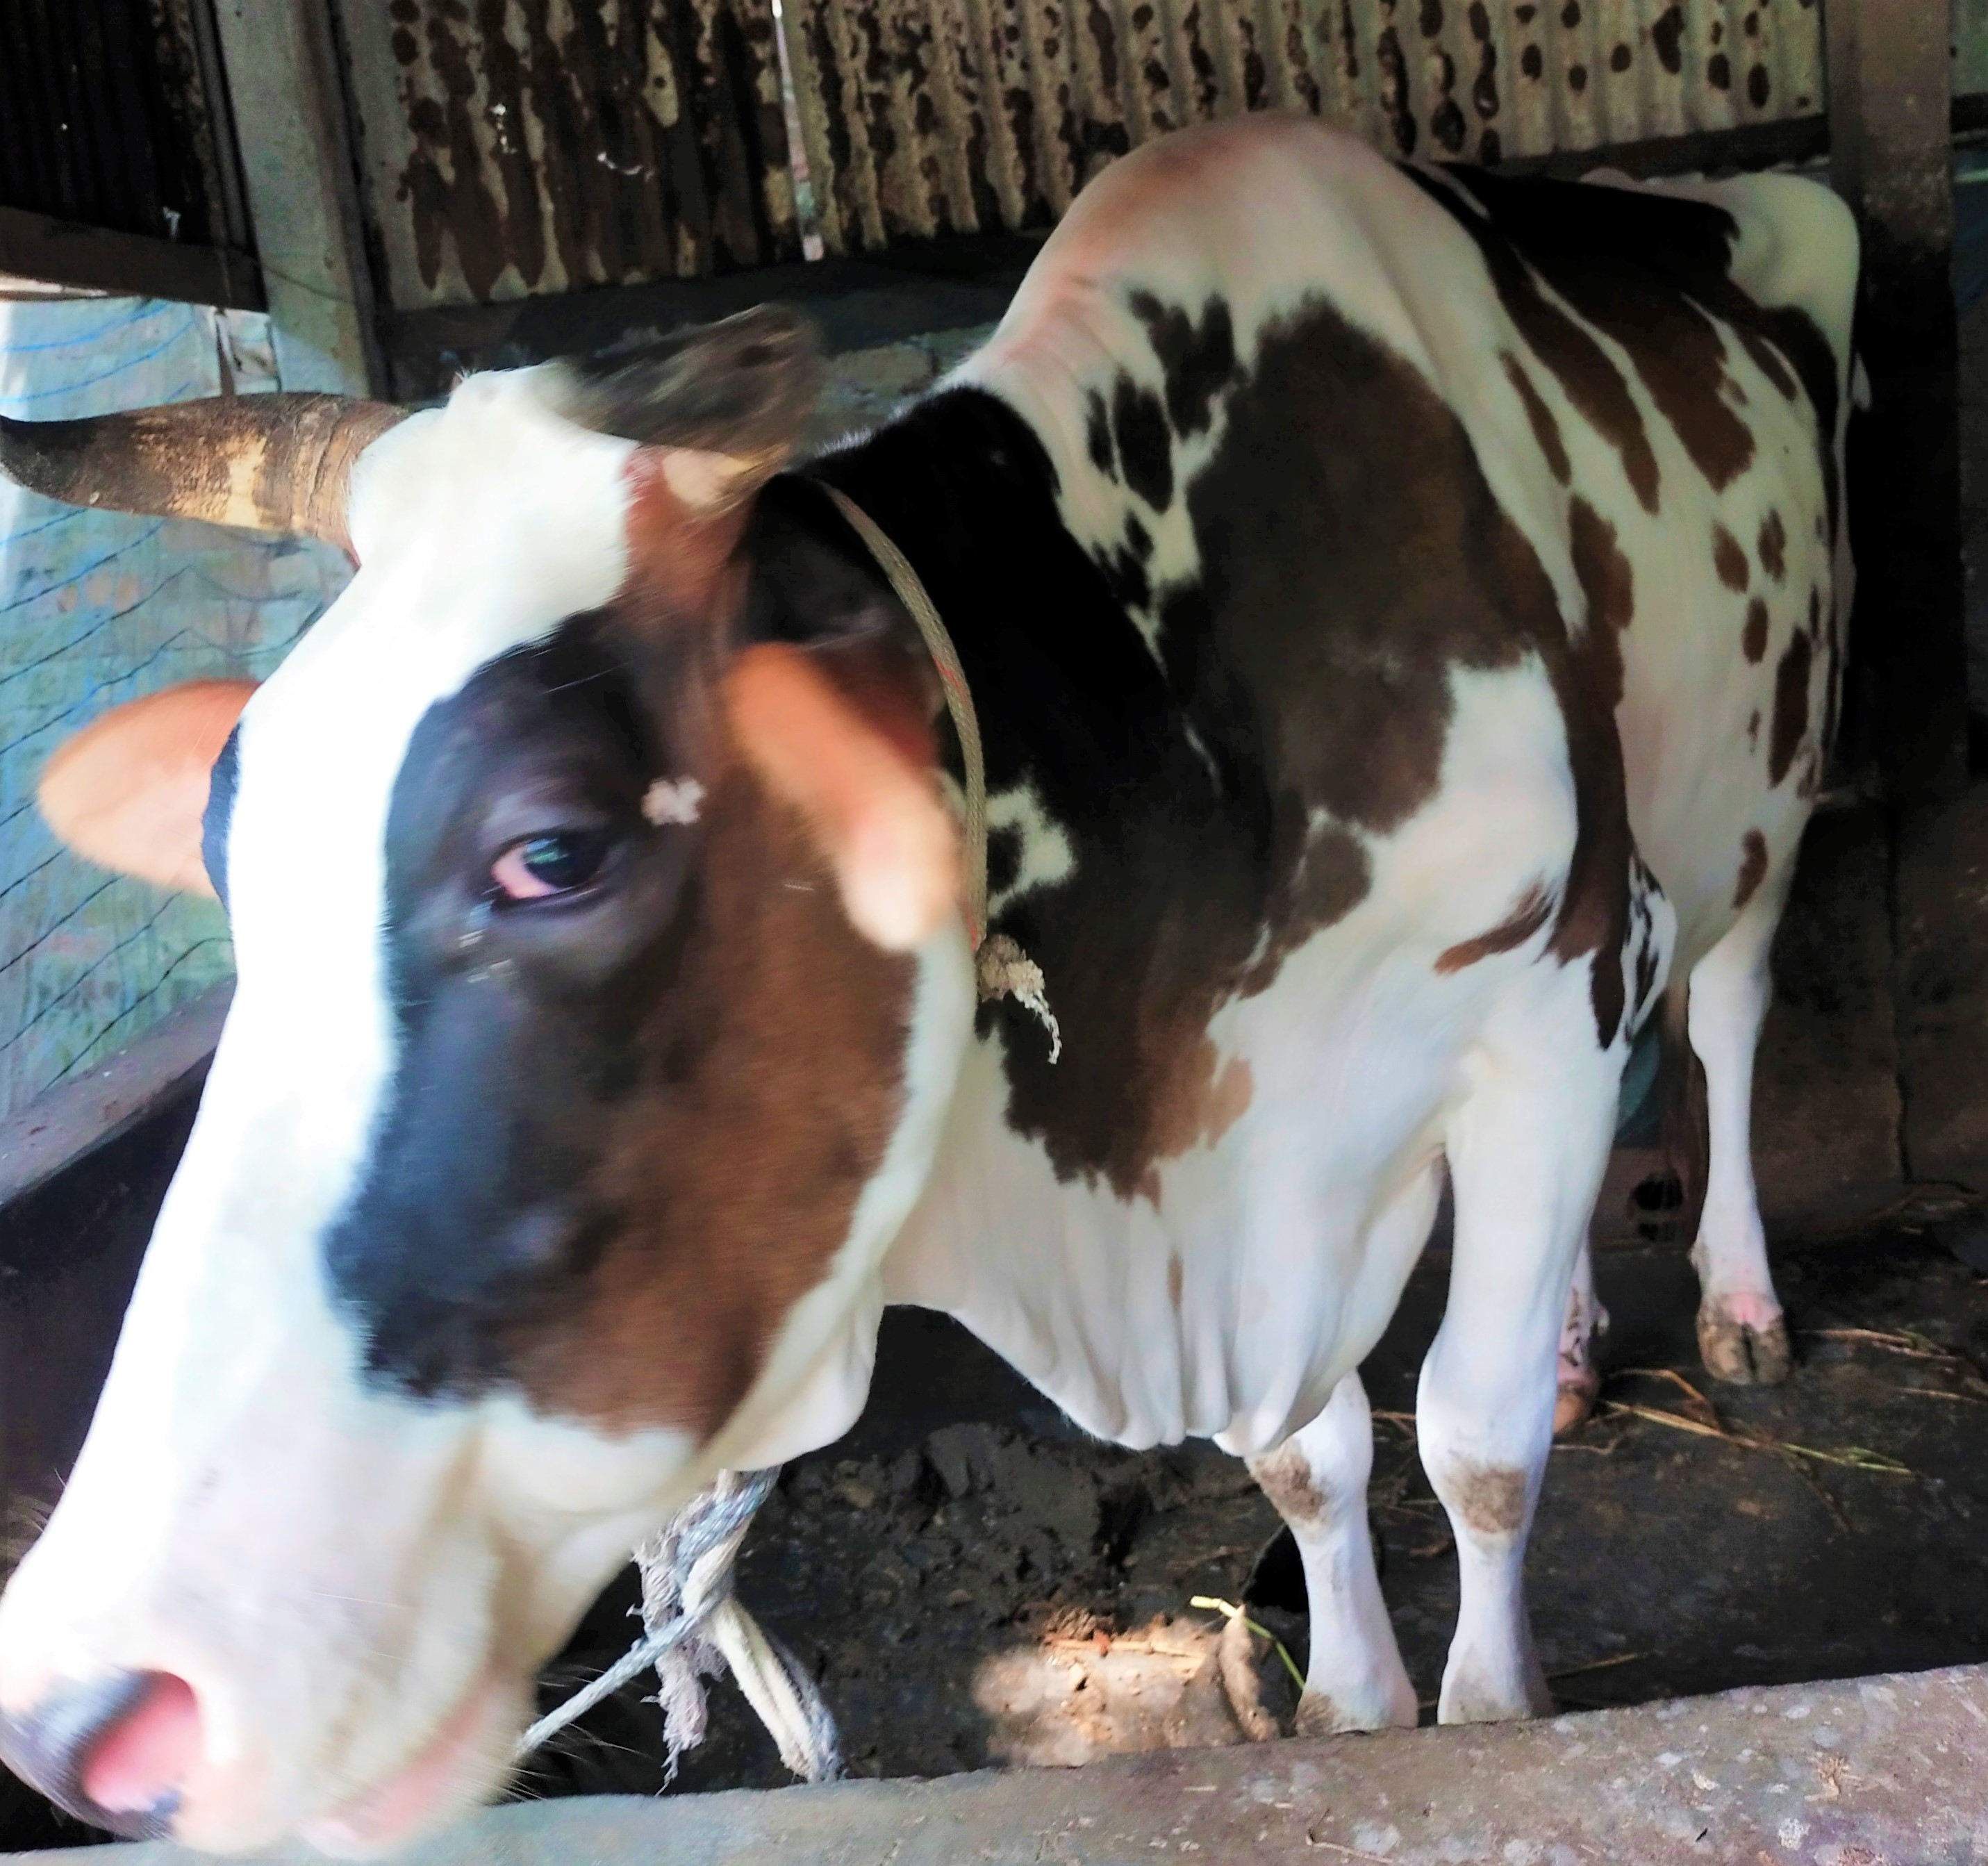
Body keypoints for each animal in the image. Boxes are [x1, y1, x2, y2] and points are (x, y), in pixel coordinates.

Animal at [0, 114, 1855, 1855]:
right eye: (229, 847)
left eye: (552, 851)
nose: (97, 1702)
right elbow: (1307, 1457)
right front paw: (1348, 1700)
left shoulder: (1560, 973)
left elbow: (1469, 1437)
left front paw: (1490, 1716)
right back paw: (1577, 1338)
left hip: (1768, 789)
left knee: (1724, 1008)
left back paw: (1737, 1305)